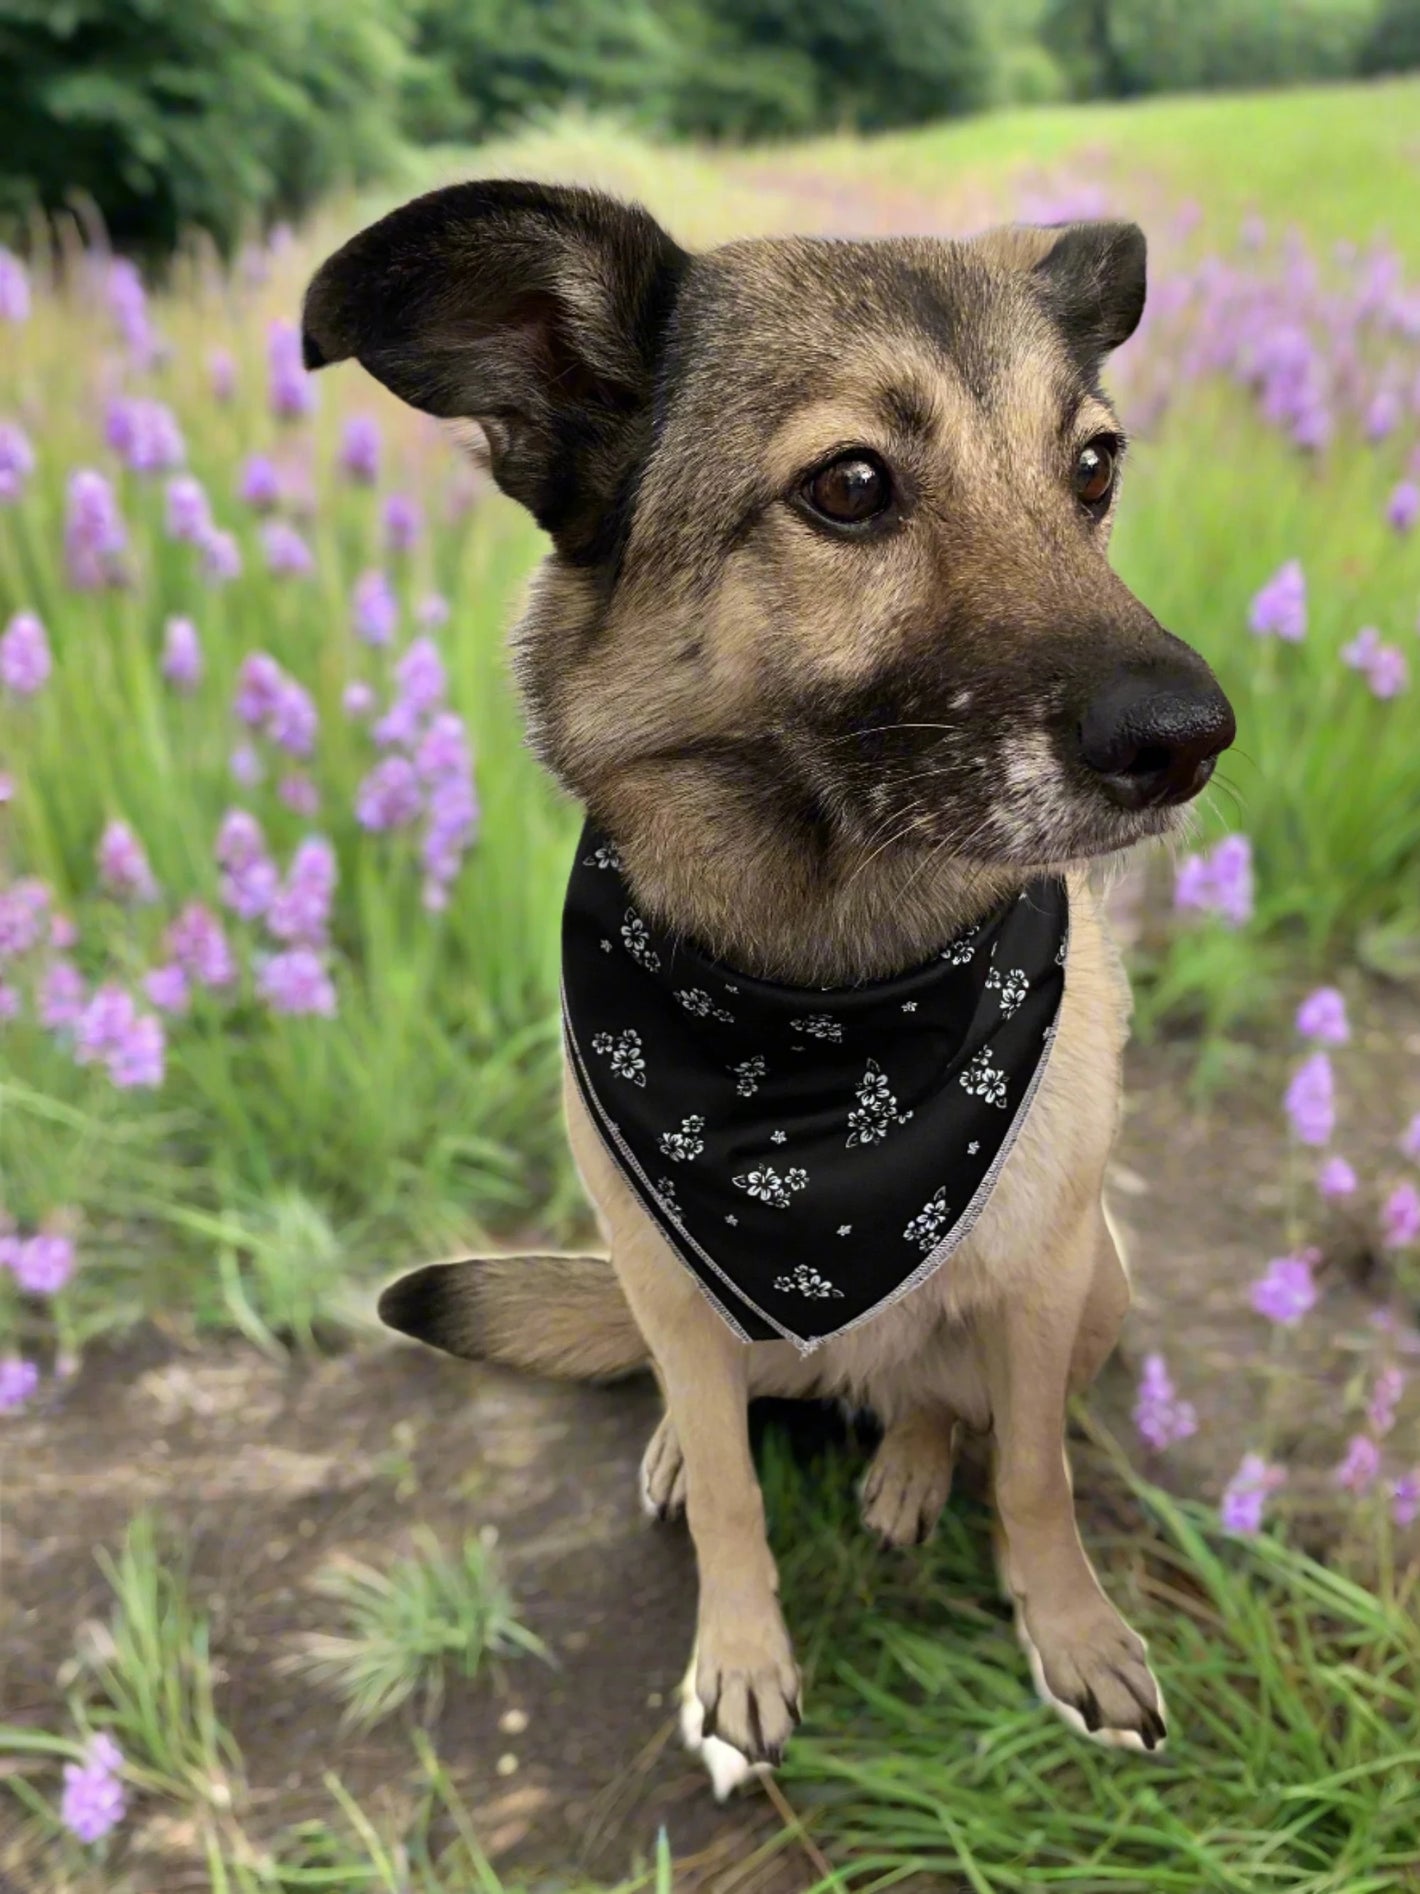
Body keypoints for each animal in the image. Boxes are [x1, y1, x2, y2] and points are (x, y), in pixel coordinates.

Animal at [306, 184, 1242, 1795]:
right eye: (852, 486)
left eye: (1095, 466)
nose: (1193, 738)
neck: (823, 1007)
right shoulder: (674, 1285)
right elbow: (739, 1492)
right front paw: (739, 1655)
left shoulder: (1044, 1280)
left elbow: (1038, 1476)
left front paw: (1070, 1630)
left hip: (1101, 1282)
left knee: (941, 1400)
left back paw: (910, 1462)